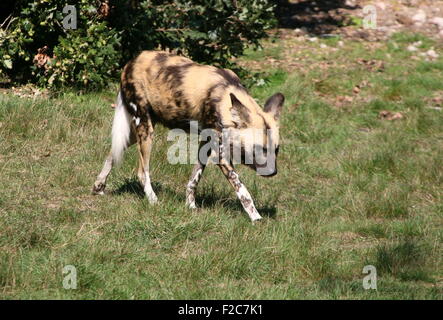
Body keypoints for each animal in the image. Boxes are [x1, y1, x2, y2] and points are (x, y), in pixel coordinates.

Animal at [92, 51, 286, 221]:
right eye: (258, 149)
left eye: (276, 150)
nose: (273, 172)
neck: (225, 98)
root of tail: (132, 62)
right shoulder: (220, 155)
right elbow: (242, 189)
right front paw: (256, 217)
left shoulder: (206, 145)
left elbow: (194, 180)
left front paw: (190, 206)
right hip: (145, 129)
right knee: (142, 171)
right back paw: (153, 200)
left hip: (138, 131)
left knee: (113, 152)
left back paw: (98, 186)